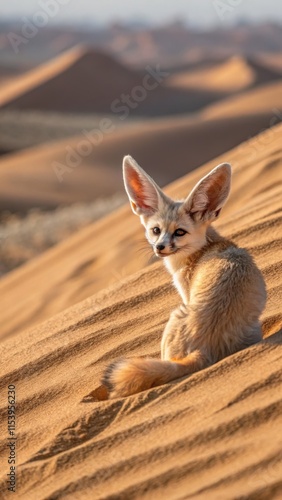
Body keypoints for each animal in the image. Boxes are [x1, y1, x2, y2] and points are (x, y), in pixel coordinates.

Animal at [102, 156, 266, 398]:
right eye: (156, 230)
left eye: (180, 232)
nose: (159, 247)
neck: (204, 248)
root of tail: (204, 347)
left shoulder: (185, 293)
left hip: (175, 315)